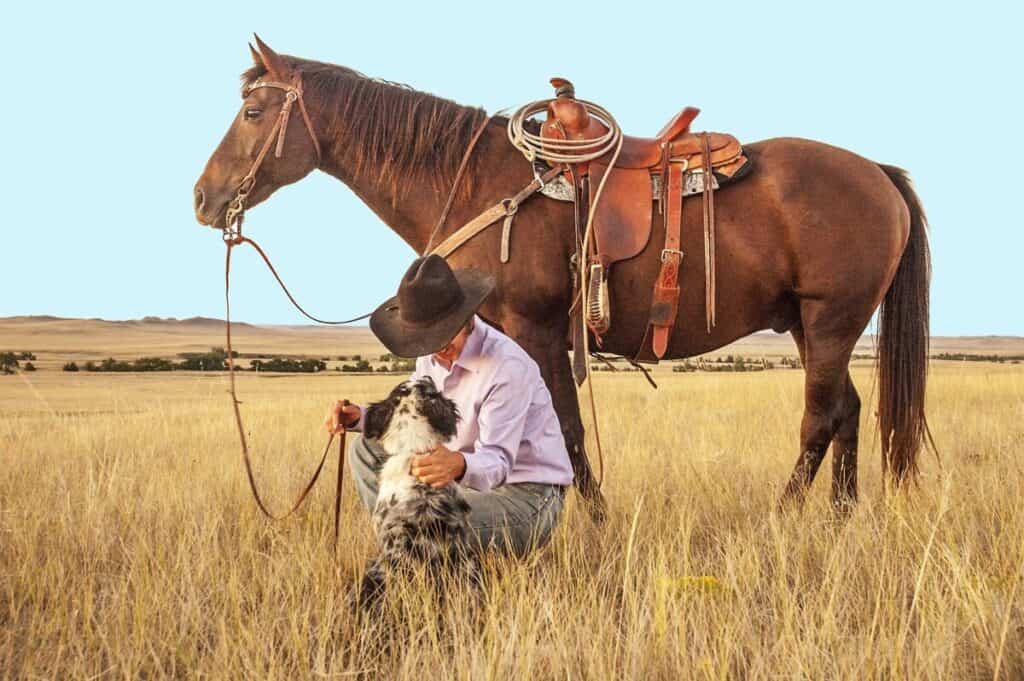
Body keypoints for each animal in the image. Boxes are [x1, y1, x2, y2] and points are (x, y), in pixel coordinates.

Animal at [194, 37, 932, 515]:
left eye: (254, 113)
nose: (203, 198)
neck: (478, 182)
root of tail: (877, 173)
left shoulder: (539, 327)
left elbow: (567, 428)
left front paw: (592, 520)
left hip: (831, 320)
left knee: (818, 418)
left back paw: (787, 513)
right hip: (813, 326)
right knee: (846, 411)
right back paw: (840, 516)